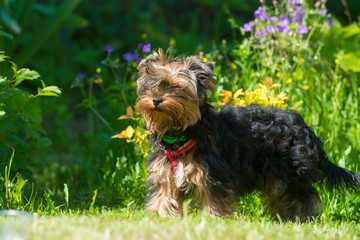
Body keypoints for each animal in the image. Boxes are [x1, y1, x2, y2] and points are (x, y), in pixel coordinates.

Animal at [135, 48, 360, 221]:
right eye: (151, 86)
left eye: (177, 87)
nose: (156, 99)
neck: (180, 132)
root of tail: (305, 128)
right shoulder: (165, 174)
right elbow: (163, 196)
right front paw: (159, 218)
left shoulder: (213, 173)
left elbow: (214, 199)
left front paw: (213, 221)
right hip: (278, 174)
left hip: (292, 170)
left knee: (303, 196)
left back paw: (302, 219)